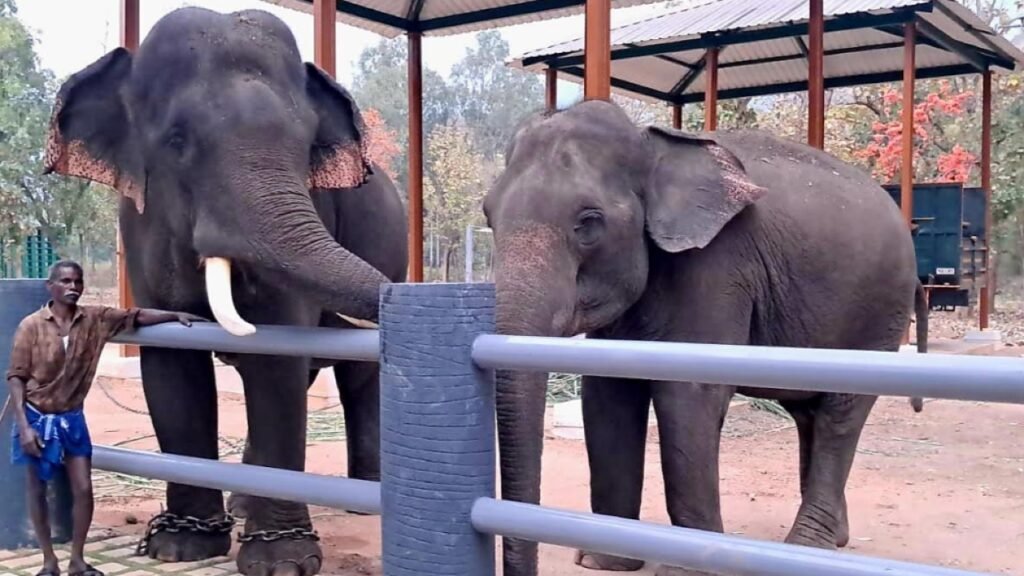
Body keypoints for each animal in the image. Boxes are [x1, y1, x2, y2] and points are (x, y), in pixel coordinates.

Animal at [42, 7, 406, 575]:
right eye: (176, 140)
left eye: (306, 144)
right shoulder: (140, 227)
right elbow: (172, 364)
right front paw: (180, 546)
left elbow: (277, 360)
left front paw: (281, 562)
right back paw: (242, 502)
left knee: (357, 378)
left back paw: (362, 498)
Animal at [482, 100, 928, 576]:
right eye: (488, 214)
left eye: (588, 222)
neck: (650, 144)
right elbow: (607, 396)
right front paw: (601, 561)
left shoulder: (717, 265)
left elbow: (688, 398)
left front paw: (686, 569)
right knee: (809, 411)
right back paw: (829, 541)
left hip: (880, 311)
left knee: (841, 413)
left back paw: (808, 548)